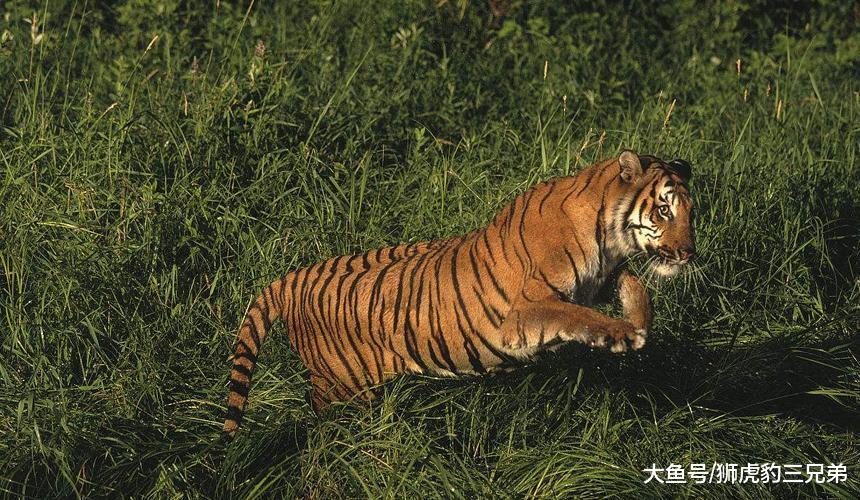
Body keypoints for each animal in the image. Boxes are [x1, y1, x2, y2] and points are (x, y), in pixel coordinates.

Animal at [223, 150, 695, 436]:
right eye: (664, 209)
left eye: (692, 212)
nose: (689, 252)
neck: (606, 235)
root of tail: (294, 278)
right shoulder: (522, 315)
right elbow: (576, 317)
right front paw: (620, 333)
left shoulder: (602, 276)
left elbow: (635, 286)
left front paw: (639, 322)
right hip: (343, 387)